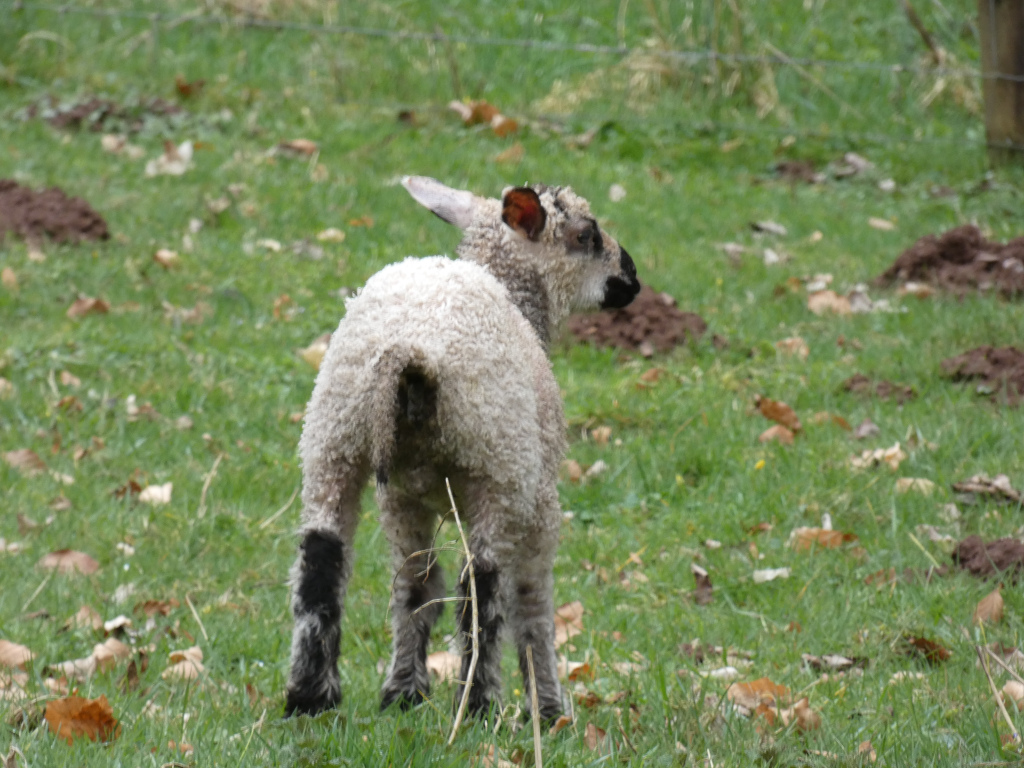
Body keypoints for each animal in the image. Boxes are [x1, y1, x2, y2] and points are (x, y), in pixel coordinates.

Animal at [284, 176, 640, 722]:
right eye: (586, 235)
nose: (633, 277)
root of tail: (411, 353)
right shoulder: (538, 497)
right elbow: (532, 600)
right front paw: (548, 708)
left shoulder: (402, 496)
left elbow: (415, 586)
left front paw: (403, 693)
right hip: (496, 462)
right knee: (483, 584)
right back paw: (478, 704)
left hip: (333, 439)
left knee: (324, 561)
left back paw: (311, 697)